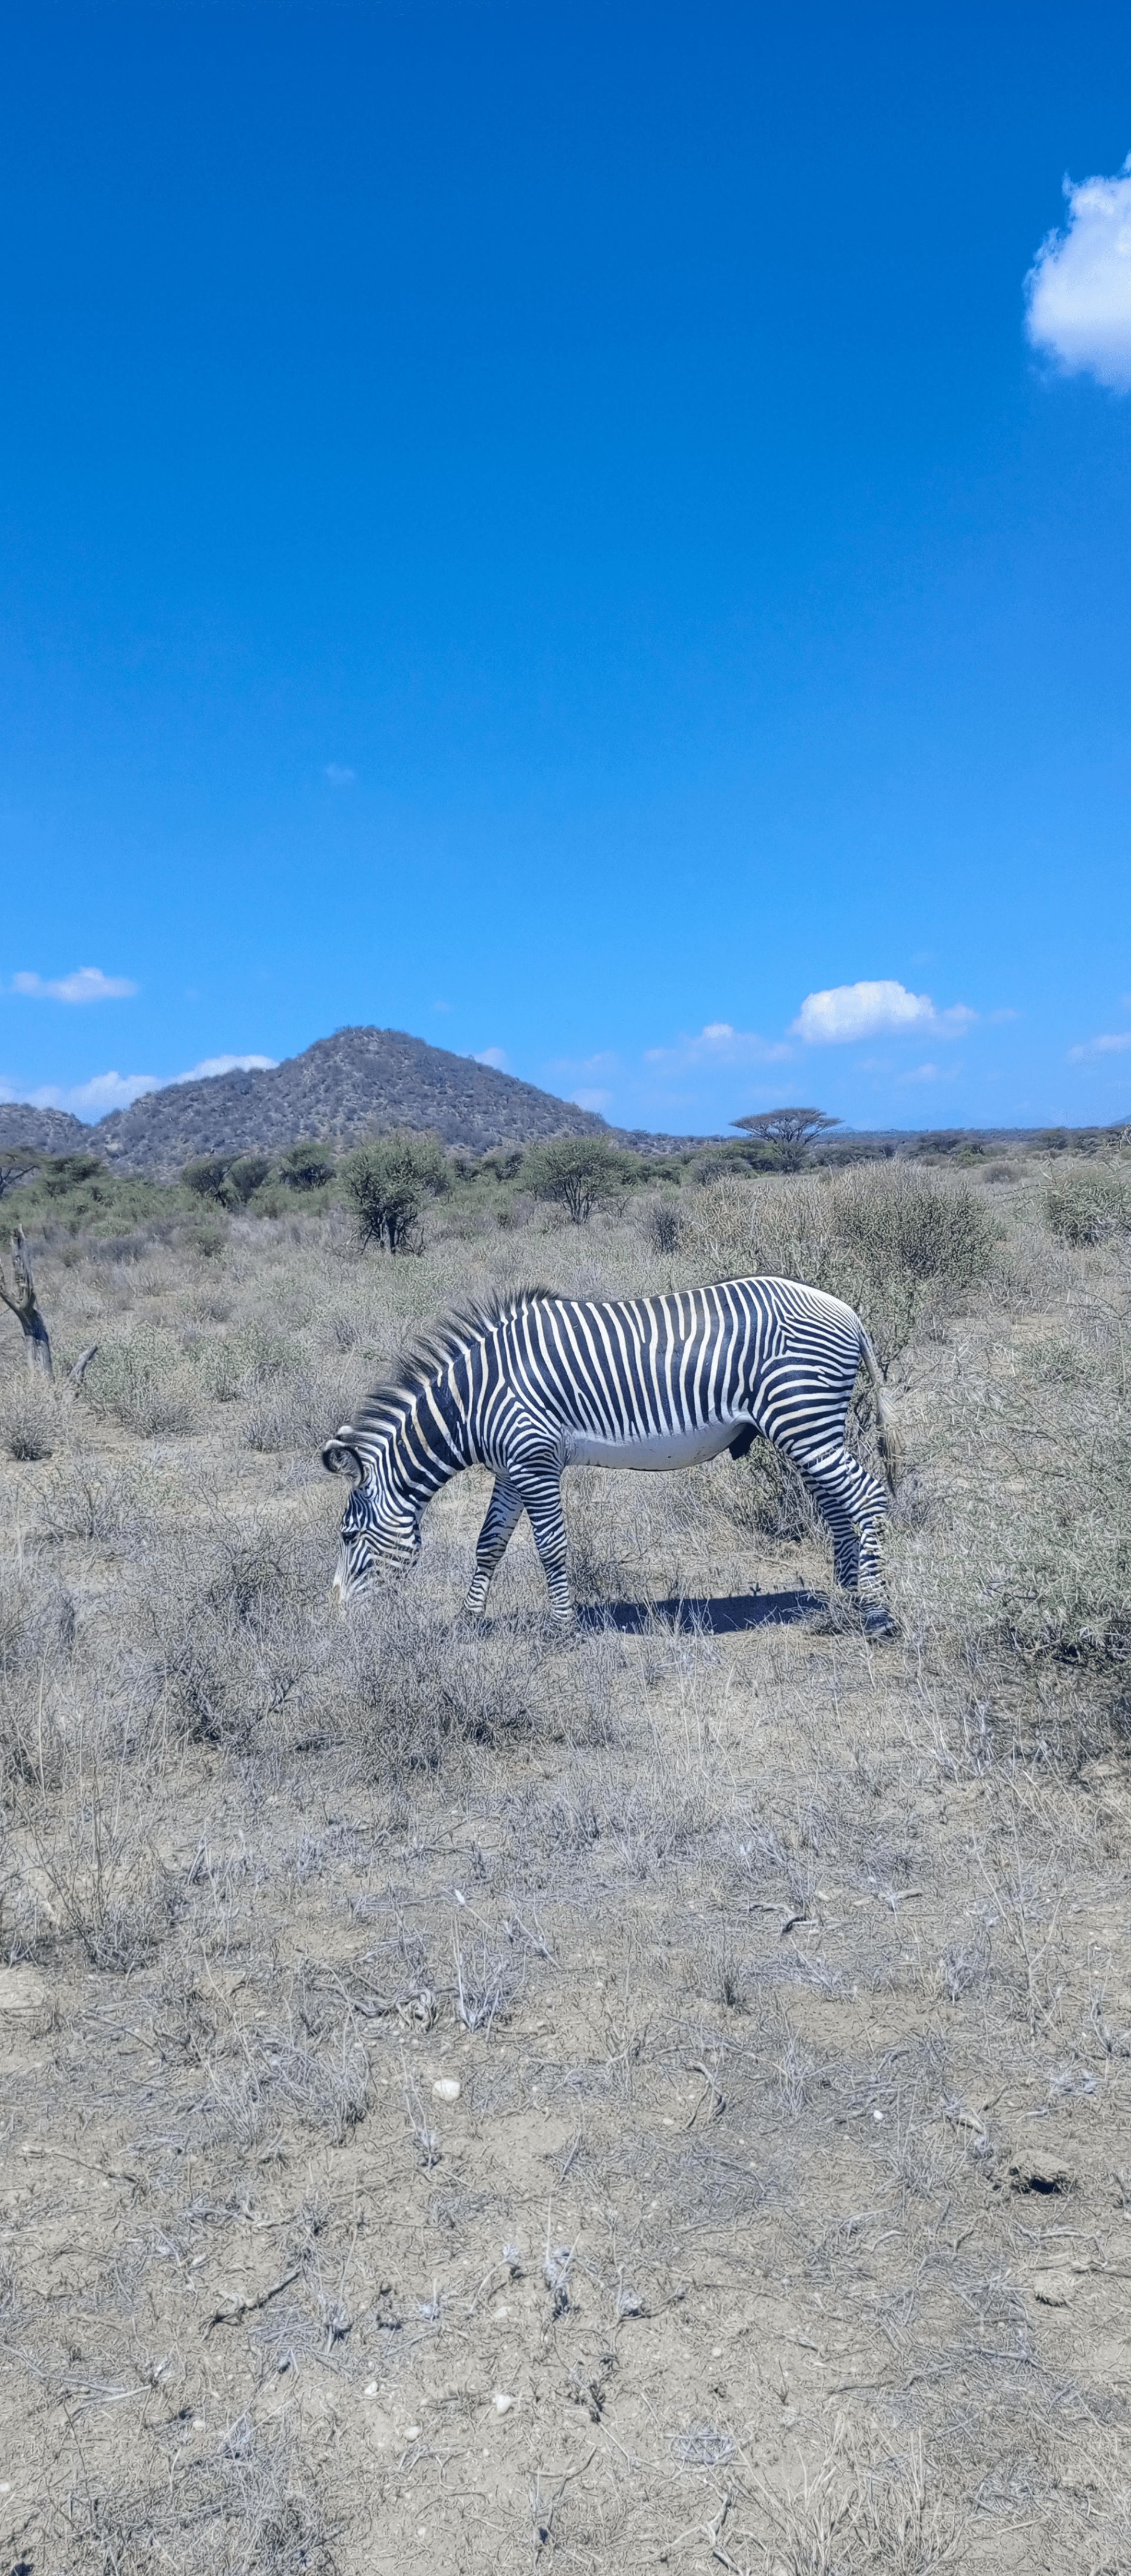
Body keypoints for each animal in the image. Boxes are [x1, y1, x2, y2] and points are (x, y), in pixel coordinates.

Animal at [322, 1277, 902, 1627]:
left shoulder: (535, 1460)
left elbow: (551, 1547)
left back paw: (876, 1611)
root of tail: (846, 1308)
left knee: (868, 1498)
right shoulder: (510, 1468)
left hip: (803, 1422)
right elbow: (489, 1544)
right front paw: (469, 1621)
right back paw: (846, 1593)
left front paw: (562, 1627)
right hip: (810, 1428)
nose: (341, 1616)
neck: (474, 1398)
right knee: (839, 1505)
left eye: (348, 1536)